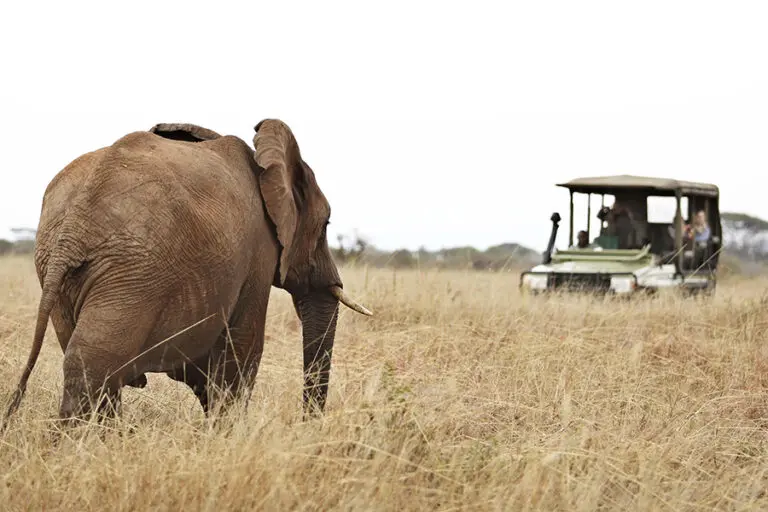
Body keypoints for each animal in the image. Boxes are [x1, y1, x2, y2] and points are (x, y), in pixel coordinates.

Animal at [1, 118, 372, 431]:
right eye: (325, 226)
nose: (307, 425)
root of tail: (74, 227)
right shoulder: (259, 253)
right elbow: (242, 350)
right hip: (133, 272)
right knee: (92, 363)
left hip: (66, 267)